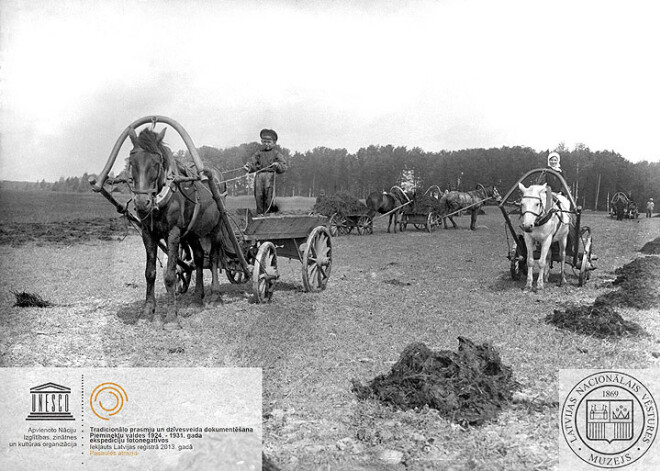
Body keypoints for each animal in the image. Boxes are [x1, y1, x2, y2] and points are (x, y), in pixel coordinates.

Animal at [129, 127, 227, 330]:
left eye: (156, 163)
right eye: (132, 162)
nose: (142, 203)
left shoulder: (173, 234)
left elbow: (170, 275)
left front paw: (171, 317)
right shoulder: (147, 234)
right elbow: (150, 273)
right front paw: (146, 313)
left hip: (216, 228)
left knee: (213, 258)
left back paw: (215, 296)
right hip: (193, 233)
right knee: (199, 259)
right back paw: (197, 299)